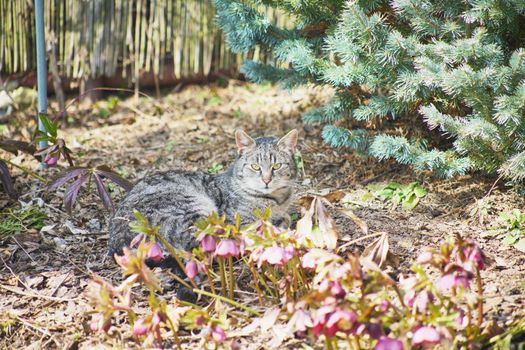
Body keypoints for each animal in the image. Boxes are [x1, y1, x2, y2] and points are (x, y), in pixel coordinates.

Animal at [108, 129, 296, 254]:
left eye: (277, 166)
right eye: (255, 166)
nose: (266, 180)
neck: (276, 199)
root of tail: (118, 242)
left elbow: (285, 217)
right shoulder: (239, 221)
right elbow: (263, 226)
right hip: (193, 208)